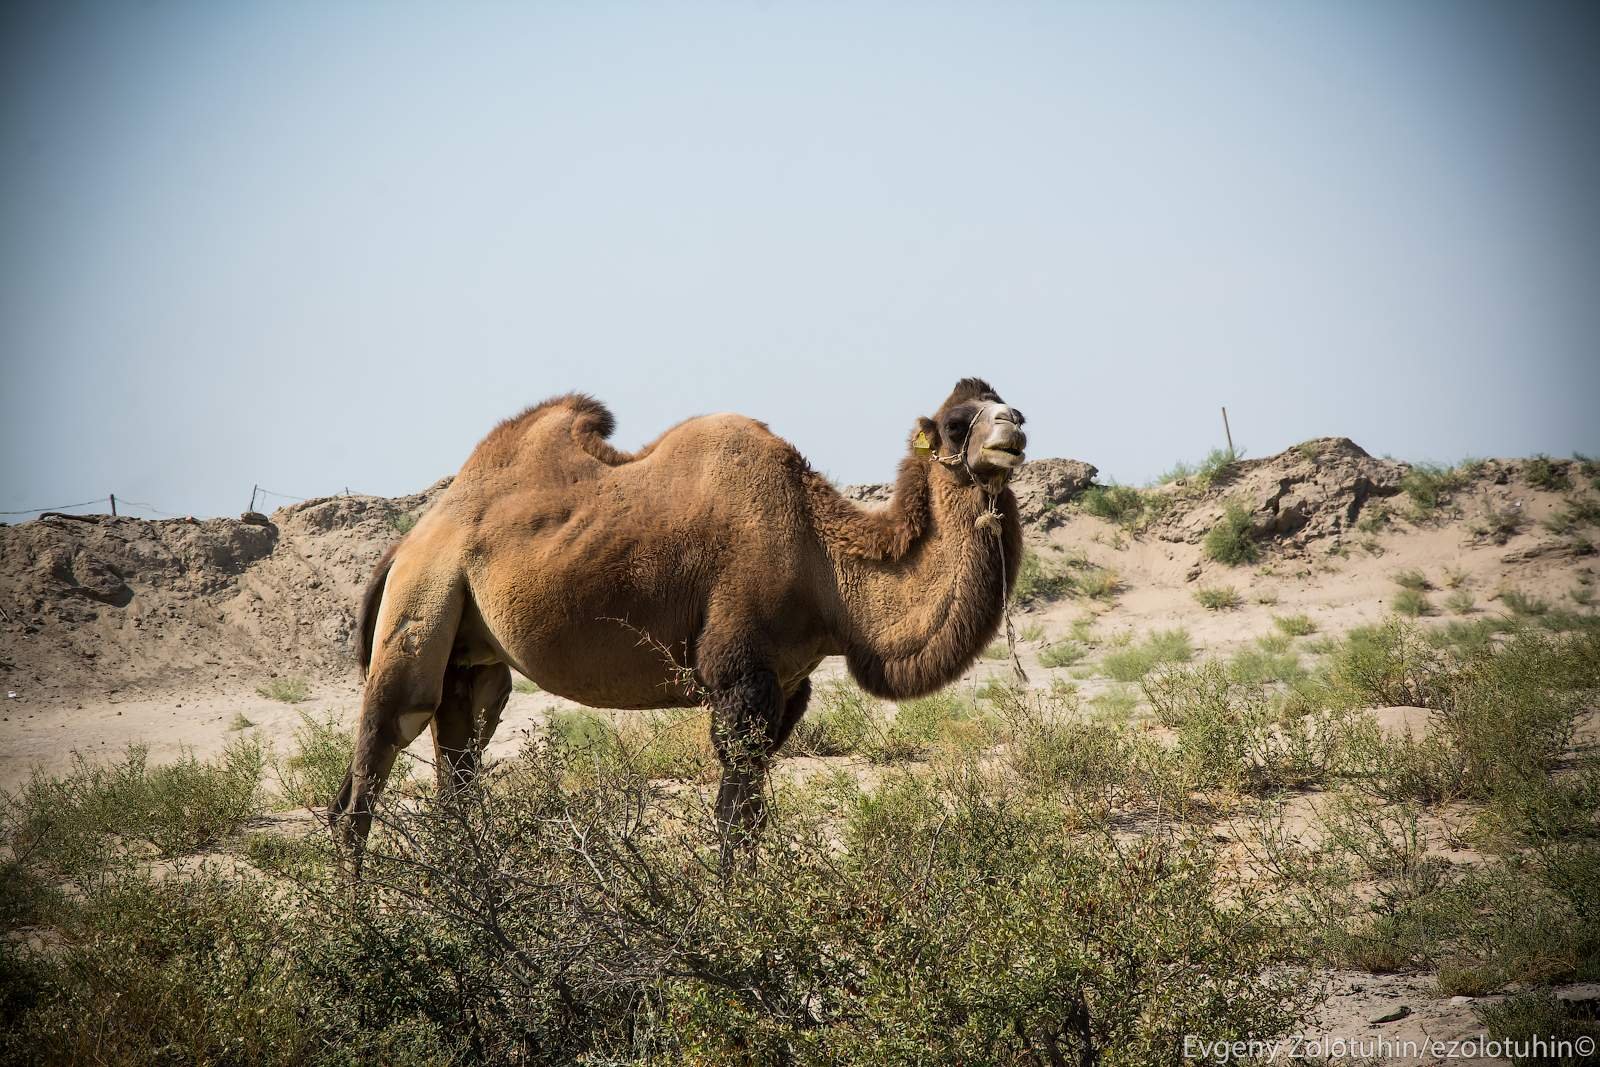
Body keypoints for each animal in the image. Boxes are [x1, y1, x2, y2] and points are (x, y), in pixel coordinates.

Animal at [332, 379, 1030, 863]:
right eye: (956, 423)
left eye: (1001, 402)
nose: (1016, 423)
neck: (824, 565)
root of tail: (409, 541)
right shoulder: (739, 675)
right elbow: (734, 817)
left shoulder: (788, 686)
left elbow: (750, 814)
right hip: (421, 600)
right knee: (373, 764)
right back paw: (357, 925)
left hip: (471, 653)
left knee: (459, 764)